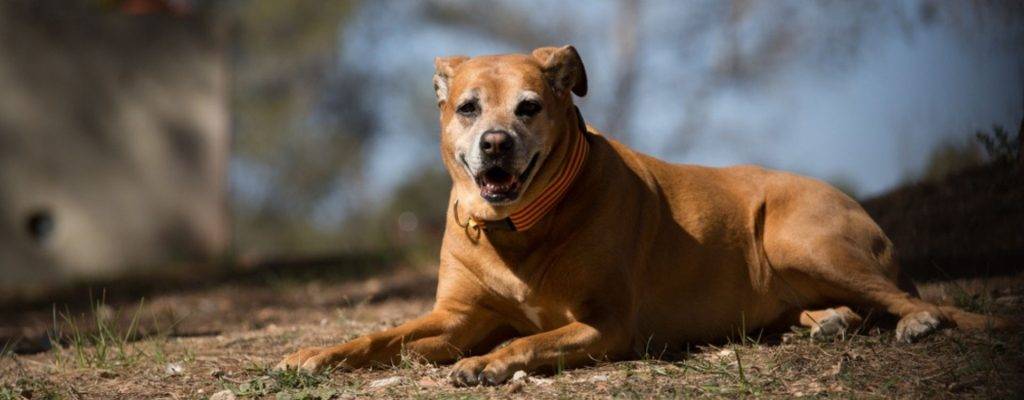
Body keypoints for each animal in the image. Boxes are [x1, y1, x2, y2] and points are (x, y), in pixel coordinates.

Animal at [276, 45, 1011, 386]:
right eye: (468, 108)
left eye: (529, 107)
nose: (496, 144)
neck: (522, 230)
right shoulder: (455, 317)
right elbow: (378, 337)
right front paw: (315, 353)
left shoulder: (605, 323)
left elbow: (528, 340)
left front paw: (488, 365)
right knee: (848, 308)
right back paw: (825, 320)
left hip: (797, 237)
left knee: (909, 299)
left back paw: (917, 321)